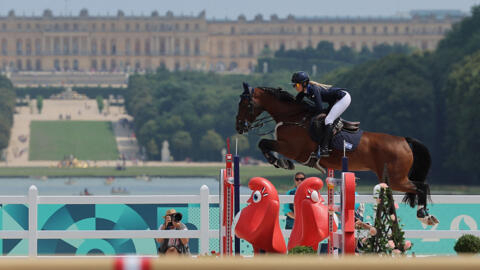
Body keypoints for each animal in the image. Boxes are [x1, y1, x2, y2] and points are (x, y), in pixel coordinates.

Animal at [235, 83, 438, 226]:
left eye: (246, 103)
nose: (239, 127)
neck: (293, 118)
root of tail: (404, 140)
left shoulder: (292, 149)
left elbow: (264, 143)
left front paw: (281, 163)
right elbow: (264, 144)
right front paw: (280, 162)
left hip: (396, 178)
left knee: (421, 187)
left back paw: (423, 215)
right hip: (390, 178)